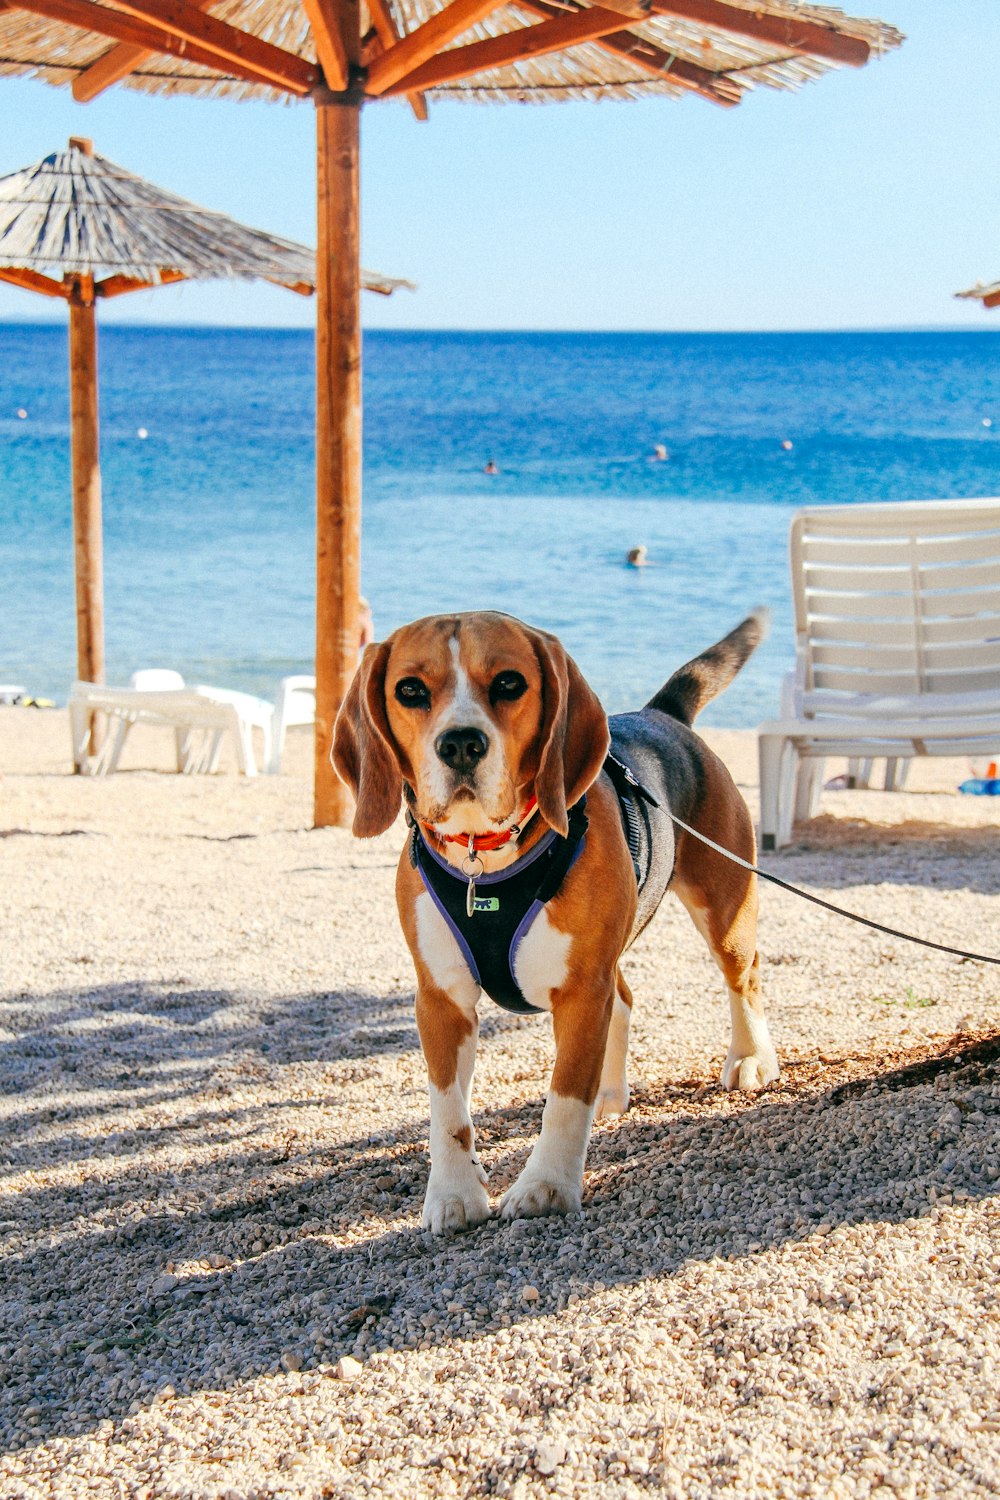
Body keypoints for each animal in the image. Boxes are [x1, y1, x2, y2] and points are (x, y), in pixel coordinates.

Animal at [332, 609, 779, 1230]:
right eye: (411, 690)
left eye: (509, 683)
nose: (461, 743)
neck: (485, 860)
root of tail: (660, 713)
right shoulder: (440, 998)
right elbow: (448, 1109)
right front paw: (454, 1193)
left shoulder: (580, 991)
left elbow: (564, 1100)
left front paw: (546, 1186)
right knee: (625, 999)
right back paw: (611, 1093)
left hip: (725, 905)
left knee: (745, 976)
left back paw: (751, 1058)